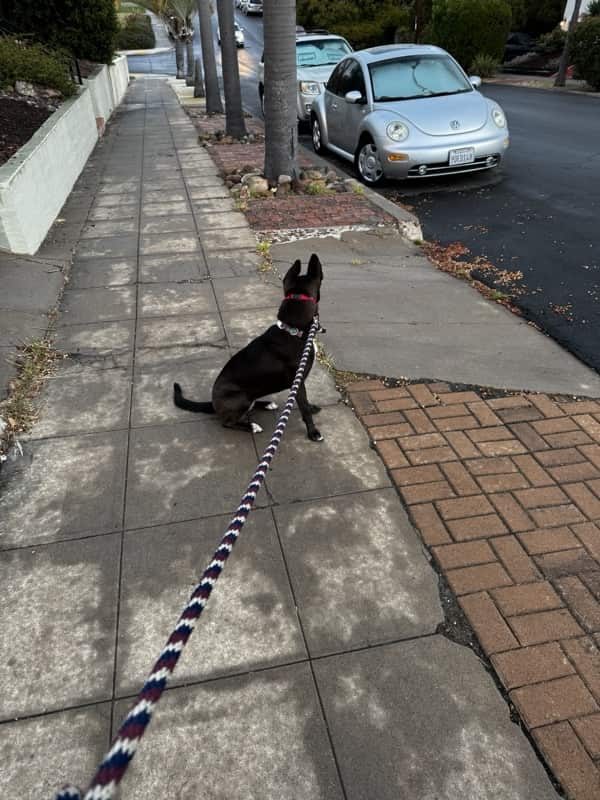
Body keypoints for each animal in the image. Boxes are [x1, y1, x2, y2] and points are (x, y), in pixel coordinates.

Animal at [173, 255, 324, 440]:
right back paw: (251, 426)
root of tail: (214, 403)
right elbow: (304, 409)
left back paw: (266, 404)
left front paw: (311, 408)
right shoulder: (298, 382)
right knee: (227, 423)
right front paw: (313, 432)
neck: (292, 330)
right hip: (241, 397)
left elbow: (306, 404)